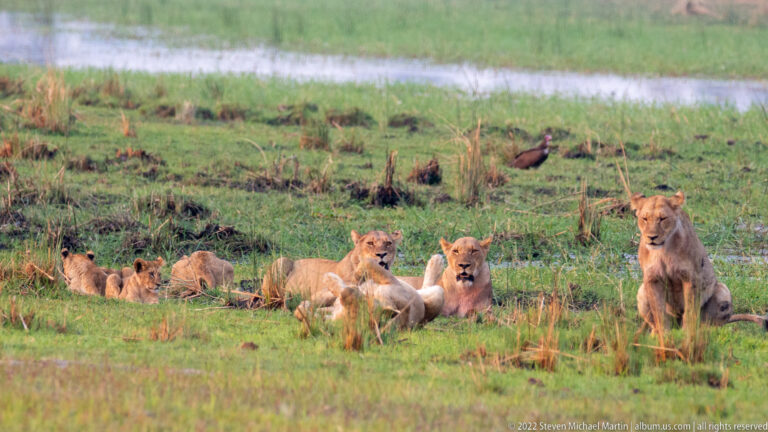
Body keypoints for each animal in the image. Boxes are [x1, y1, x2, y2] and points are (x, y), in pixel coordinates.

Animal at [631, 191, 766, 331]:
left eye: (663, 218)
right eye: (644, 219)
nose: (651, 237)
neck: (663, 250)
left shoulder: (690, 278)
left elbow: (690, 310)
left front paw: (687, 333)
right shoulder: (652, 279)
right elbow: (659, 312)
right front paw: (664, 334)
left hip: (723, 291)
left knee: (710, 325)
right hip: (642, 291)